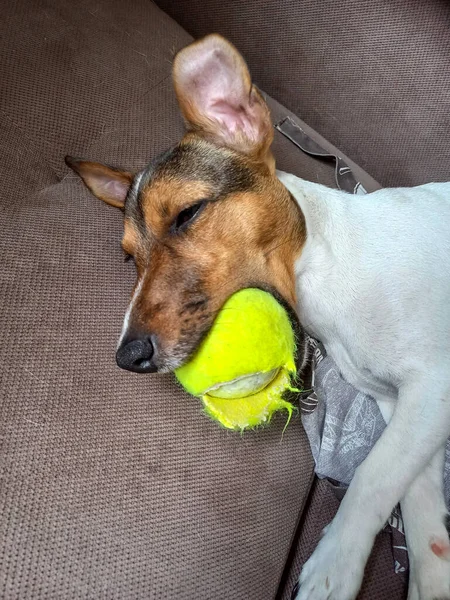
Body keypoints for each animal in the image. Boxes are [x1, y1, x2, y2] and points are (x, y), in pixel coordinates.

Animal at [66, 35, 450, 600]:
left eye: (187, 214)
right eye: (128, 257)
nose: (127, 355)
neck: (325, 269)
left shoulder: (433, 384)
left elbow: (374, 474)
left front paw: (333, 565)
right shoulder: (398, 402)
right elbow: (415, 502)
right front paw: (431, 578)